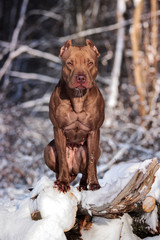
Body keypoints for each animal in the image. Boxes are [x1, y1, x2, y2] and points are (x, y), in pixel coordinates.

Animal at [44, 39, 105, 193]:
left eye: (90, 63)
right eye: (70, 63)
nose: (81, 78)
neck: (78, 97)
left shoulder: (94, 131)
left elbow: (91, 161)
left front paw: (94, 184)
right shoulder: (58, 129)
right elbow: (62, 159)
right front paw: (63, 182)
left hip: (97, 150)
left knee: (85, 171)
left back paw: (84, 184)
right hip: (48, 150)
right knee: (58, 168)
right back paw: (59, 180)